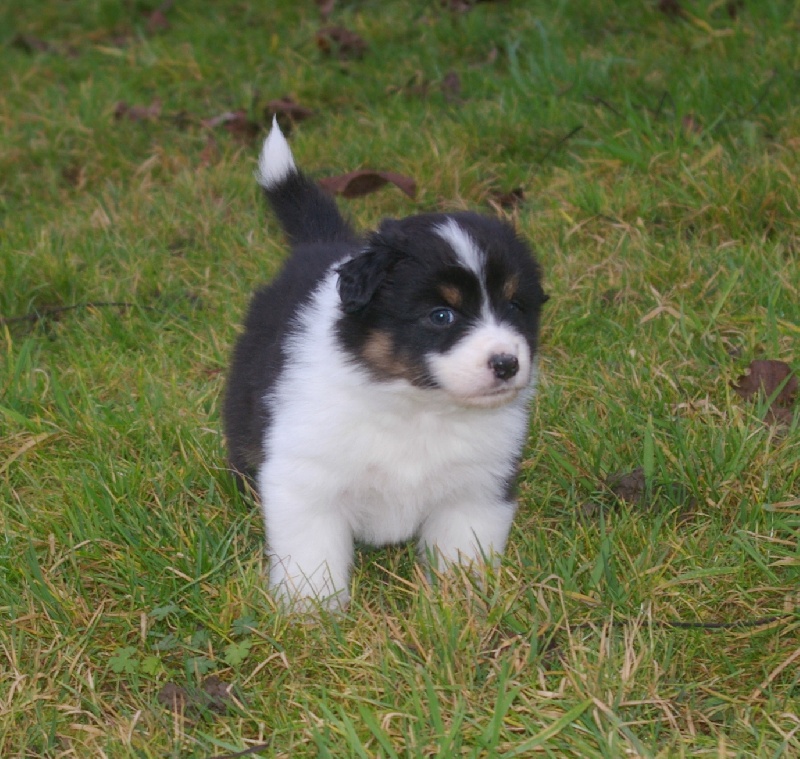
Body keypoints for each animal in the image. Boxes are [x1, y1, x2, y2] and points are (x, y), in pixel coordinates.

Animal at [223, 119, 548, 610]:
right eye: (441, 315)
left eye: (515, 305)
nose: (507, 364)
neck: (418, 405)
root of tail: (324, 244)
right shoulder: (307, 478)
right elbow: (311, 555)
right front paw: (310, 614)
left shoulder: (476, 485)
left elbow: (462, 550)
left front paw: (460, 607)